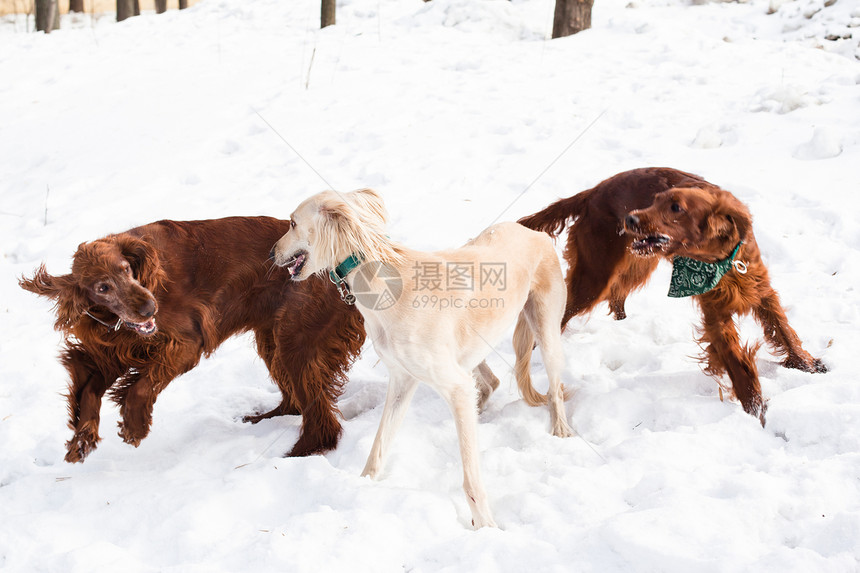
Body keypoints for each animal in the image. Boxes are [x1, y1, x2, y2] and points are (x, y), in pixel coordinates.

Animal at [20, 217, 362, 462]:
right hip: (273, 341)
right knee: (294, 402)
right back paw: (264, 419)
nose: (149, 308)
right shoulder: (113, 352)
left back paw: (300, 452)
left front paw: (134, 426)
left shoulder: (184, 343)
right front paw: (82, 441)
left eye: (127, 269)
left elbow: (142, 387)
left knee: (319, 416)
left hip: (295, 339)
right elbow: (89, 391)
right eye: (102, 287)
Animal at [272, 189, 576, 528]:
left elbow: (470, 474)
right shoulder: (403, 381)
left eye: (292, 223)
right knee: (491, 382)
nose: (272, 253)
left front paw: (485, 524)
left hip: (546, 333)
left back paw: (560, 429)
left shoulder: (454, 385)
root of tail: (533, 233)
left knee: (554, 389)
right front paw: (362, 485)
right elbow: (379, 447)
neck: (384, 286)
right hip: (470, 349)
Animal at [516, 168, 828, 422]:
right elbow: (736, 362)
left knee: (617, 295)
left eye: (676, 207)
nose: (630, 217)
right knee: (564, 310)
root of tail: (591, 192)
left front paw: (807, 365)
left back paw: (623, 321)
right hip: (595, 274)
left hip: (637, 262)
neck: (719, 261)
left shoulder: (761, 290)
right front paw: (755, 409)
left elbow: (783, 329)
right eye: (654, 201)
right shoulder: (715, 316)